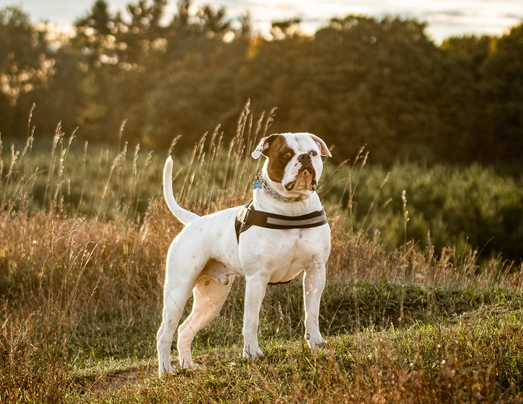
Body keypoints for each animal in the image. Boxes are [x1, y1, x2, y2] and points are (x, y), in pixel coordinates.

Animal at [158, 132, 334, 372]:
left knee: (185, 329)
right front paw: (251, 353)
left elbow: (312, 313)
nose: (305, 158)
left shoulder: (315, 271)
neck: (291, 208)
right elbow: (251, 320)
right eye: (286, 154)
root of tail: (194, 221)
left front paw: (316, 342)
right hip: (178, 291)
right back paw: (166, 371)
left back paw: (189, 367)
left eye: (313, 153)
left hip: (211, 300)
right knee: (164, 333)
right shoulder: (257, 278)